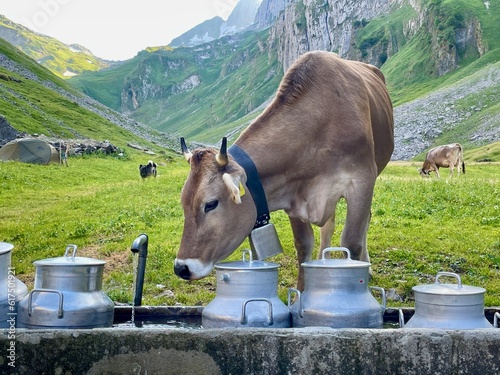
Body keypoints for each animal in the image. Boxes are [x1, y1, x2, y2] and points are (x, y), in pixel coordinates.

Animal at [174, 50, 392, 290]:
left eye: (211, 204)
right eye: (183, 202)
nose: (181, 267)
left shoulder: (361, 181)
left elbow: (351, 243)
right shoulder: (293, 193)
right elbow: (303, 245)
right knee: (328, 226)